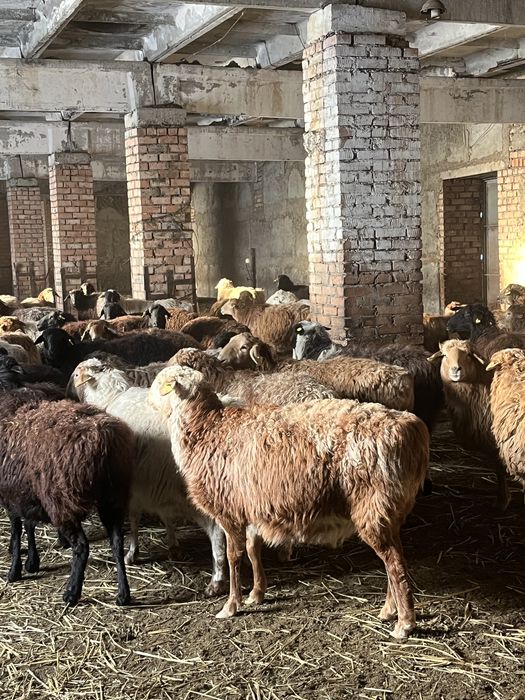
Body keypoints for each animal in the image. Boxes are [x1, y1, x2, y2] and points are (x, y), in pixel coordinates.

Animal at [0, 388, 133, 605]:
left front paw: (14, 571)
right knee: (117, 542)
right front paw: (31, 562)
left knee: (81, 546)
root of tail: (104, 438)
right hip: (113, 496)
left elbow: (17, 531)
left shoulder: (11, 497)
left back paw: (72, 592)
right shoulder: (28, 493)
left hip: (62, 500)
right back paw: (123, 594)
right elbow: (28, 525)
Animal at [68, 358, 227, 594]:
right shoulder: (156, 486)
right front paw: (173, 545)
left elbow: (134, 519)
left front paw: (132, 552)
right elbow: (167, 517)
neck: (112, 397)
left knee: (217, 532)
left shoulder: (133, 488)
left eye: (77, 374)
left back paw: (217, 579)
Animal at [153, 364, 429, 639]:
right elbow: (253, 550)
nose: (149, 400)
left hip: (373, 508)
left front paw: (231, 606)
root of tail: (410, 428)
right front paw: (257, 593)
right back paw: (389, 610)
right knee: (395, 558)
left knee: (394, 562)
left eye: (160, 382)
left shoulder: (229, 512)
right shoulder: (252, 507)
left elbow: (234, 557)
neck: (206, 429)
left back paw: (404, 623)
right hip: (389, 510)